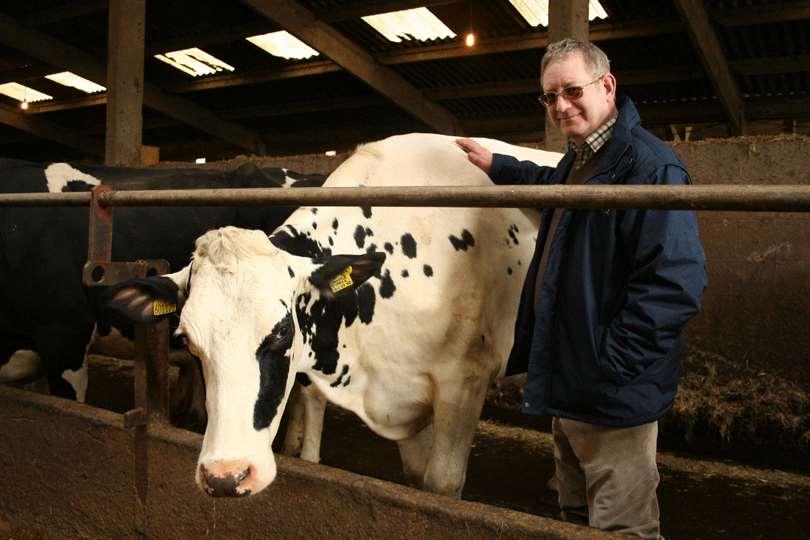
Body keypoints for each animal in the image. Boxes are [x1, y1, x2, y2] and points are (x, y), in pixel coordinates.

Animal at [99, 134, 560, 498]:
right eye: (189, 343)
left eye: (282, 335)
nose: (226, 477)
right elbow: (415, 475)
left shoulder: (464, 380)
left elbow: (441, 484)